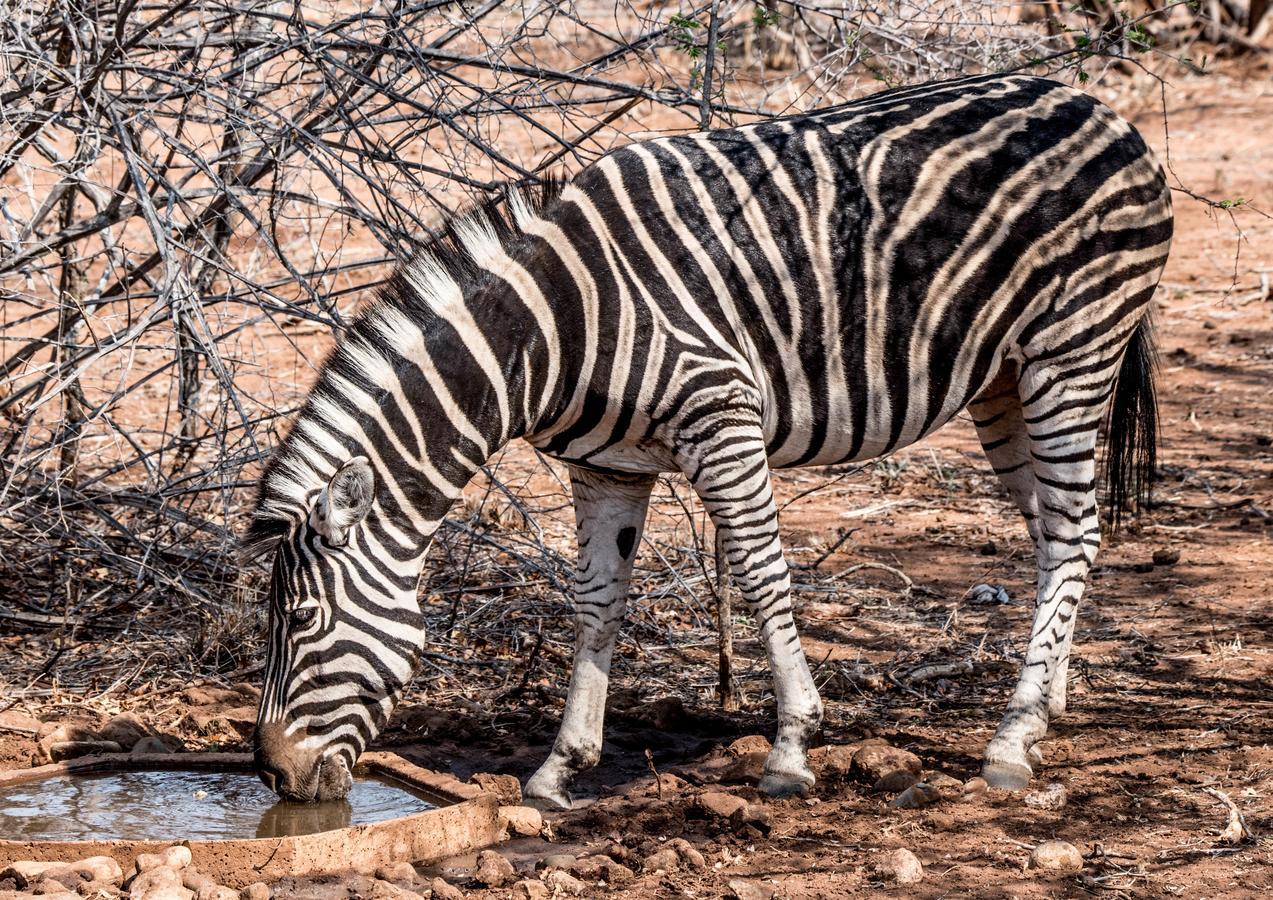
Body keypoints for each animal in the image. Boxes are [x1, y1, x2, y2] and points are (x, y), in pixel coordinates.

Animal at [245, 73, 1171, 804]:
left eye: (301, 617)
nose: (272, 777)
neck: (555, 329)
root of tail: (1096, 106)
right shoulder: (604, 466)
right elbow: (596, 601)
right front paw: (558, 768)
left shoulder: (720, 420)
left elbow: (761, 574)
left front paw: (791, 749)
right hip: (1003, 381)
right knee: (1052, 535)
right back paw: (1045, 705)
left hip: (1070, 352)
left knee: (1076, 531)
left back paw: (1010, 740)